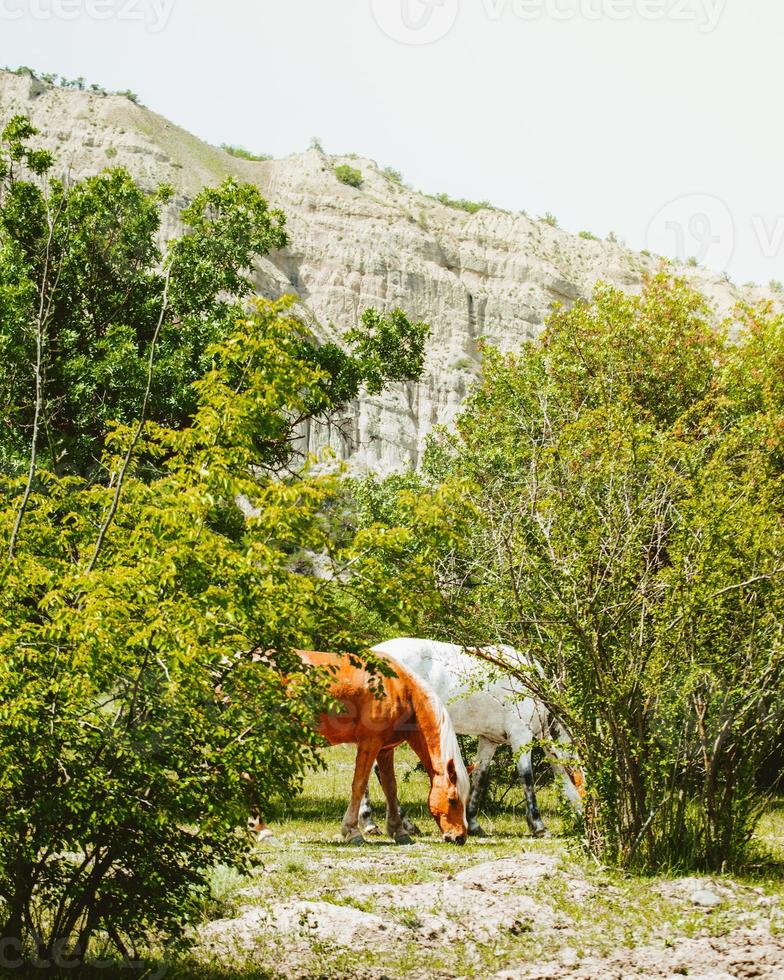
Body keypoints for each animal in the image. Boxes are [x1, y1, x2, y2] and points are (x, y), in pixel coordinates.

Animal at [254, 648, 468, 848]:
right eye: (452, 800)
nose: (460, 837)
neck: (400, 690)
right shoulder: (369, 743)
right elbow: (359, 785)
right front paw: (352, 831)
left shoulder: (385, 750)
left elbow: (391, 788)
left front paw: (399, 832)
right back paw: (263, 832)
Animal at [356, 640, 580, 840]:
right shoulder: (521, 736)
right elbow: (527, 778)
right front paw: (538, 826)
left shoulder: (489, 740)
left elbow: (480, 779)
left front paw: (473, 823)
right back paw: (394, 823)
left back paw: (370, 822)